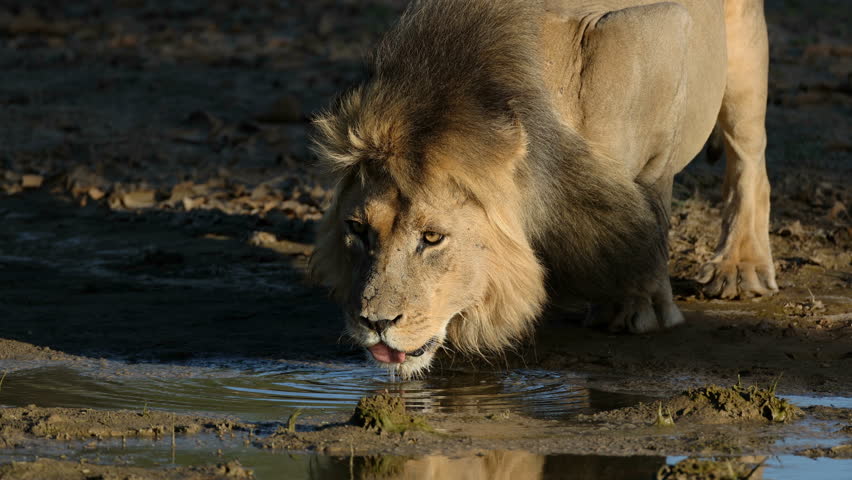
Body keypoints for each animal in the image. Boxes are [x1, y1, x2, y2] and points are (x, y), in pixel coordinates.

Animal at [310, 0, 777, 378]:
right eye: (357, 230)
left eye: (432, 237)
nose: (375, 323)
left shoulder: (658, 32)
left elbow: (649, 203)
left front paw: (635, 304)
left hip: (741, 50)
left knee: (749, 157)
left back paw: (740, 267)